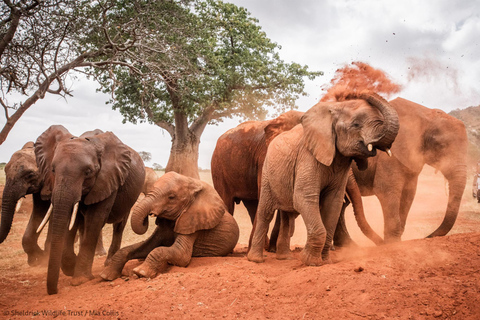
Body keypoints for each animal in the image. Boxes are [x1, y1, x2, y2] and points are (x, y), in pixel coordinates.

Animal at [34, 125, 144, 296]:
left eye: (88, 172)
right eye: (52, 170)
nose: (54, 291)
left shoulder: (108, 178)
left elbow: (95, 219)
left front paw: (79, 279)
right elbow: (72, 219)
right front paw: (70, 267)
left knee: (119, 226)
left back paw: (108, 263)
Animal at [100, 170, 239, 280]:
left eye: (171, 197)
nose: (148, 216)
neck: (193, 183)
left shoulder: (193, 224)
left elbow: (180, 255)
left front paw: (141, 272)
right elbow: (145, 246)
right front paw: (105, 275)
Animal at [246, 92, 400, 264]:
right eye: (355, 125)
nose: (362, 92)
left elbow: (333, 203)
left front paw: (324, 262)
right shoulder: (307, 157)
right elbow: (304, 197)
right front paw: (310, 261)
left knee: (287, 215)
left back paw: (285, 258)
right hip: (267, 172)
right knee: (266, 212)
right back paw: (256, 260)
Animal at [336, 96, 466, 244]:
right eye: (441, 146)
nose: (427, 236)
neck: (426, 115)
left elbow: (408, 195)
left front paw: (396, 241)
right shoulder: (388, 158)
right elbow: (387, 191)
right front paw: (392, 244)